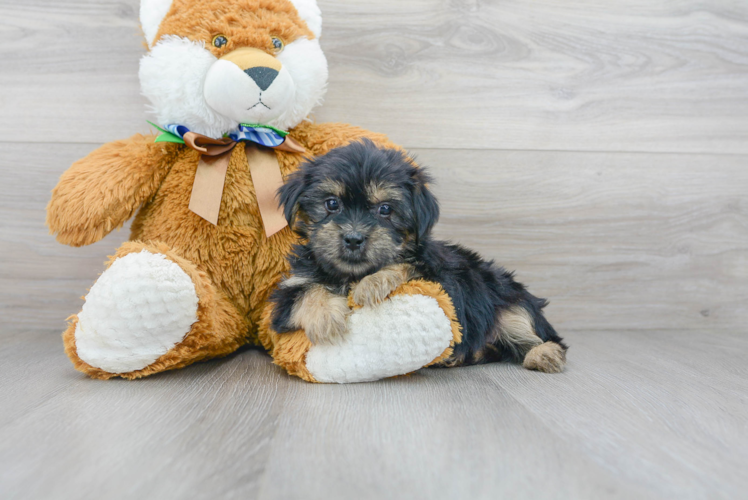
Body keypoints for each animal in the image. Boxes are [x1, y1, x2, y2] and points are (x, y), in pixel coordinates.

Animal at [268, 139, 568, 374]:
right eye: (331, 204)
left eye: (385, 209)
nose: (353, 238)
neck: (350, 274)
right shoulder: (288, 294)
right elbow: (305, 293)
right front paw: (325, 318)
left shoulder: (441, 278)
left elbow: (408, 263)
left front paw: (371, 285)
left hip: (508, 300)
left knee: (529, 331)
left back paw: (543, 353)